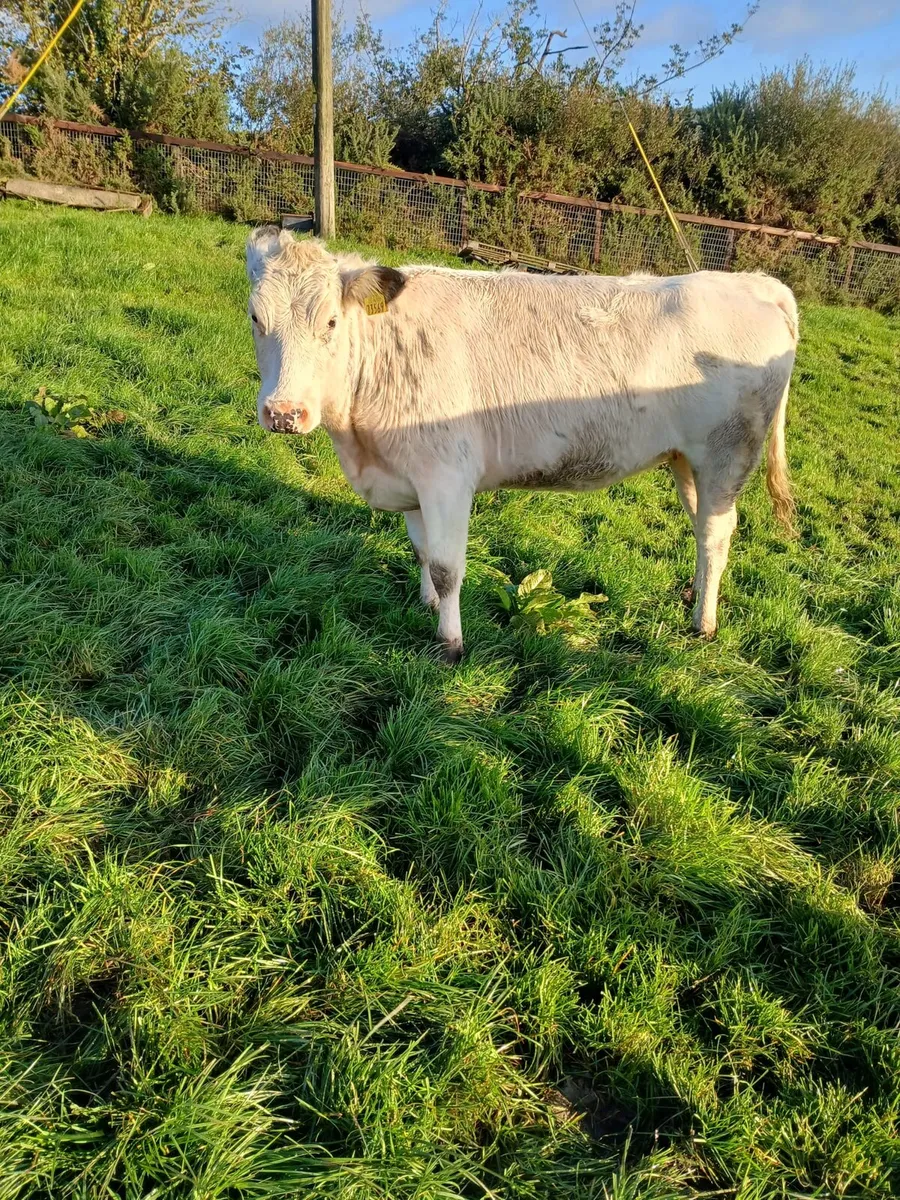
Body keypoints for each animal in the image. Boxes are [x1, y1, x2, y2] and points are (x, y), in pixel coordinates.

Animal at [246, 226, 797, 662]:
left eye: (330, 322)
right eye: (255, 318)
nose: (284, 413)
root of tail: (753, 281)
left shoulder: (447, 477)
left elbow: (447, 567)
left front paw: (450, 643)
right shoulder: (411, 476)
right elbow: (422, 551)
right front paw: (426, 604)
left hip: (727, 455)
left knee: (716, 533)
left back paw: (704, 622)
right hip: (688, 460)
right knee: (702, 527)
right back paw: (695, 597)